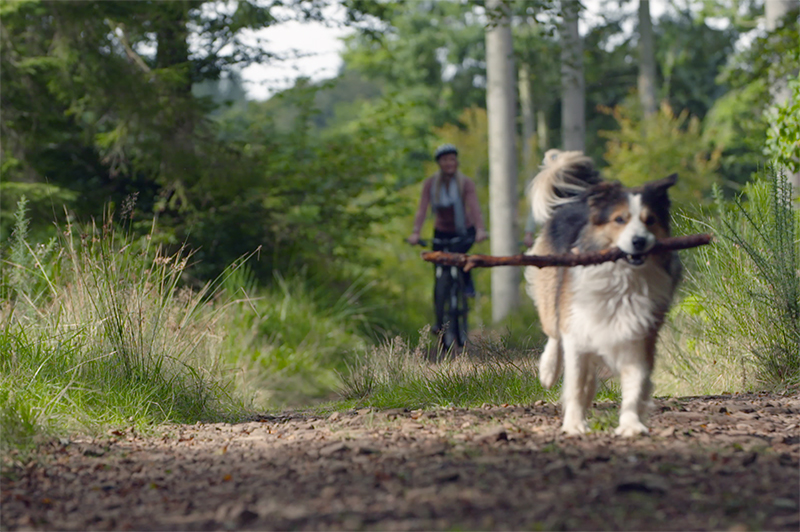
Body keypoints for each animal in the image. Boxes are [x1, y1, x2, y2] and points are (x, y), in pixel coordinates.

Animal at [524, 150, 680, 436]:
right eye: (620, 219)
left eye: (650, 220)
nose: (639, 241)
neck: (622, 276)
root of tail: (574, 201)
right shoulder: (578, 330)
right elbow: (575, 382)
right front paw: (574, 424)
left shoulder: (639, 331)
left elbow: (635, 382)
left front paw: (631, 424)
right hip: (552, 290)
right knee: (553, 331)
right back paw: (548, 371)